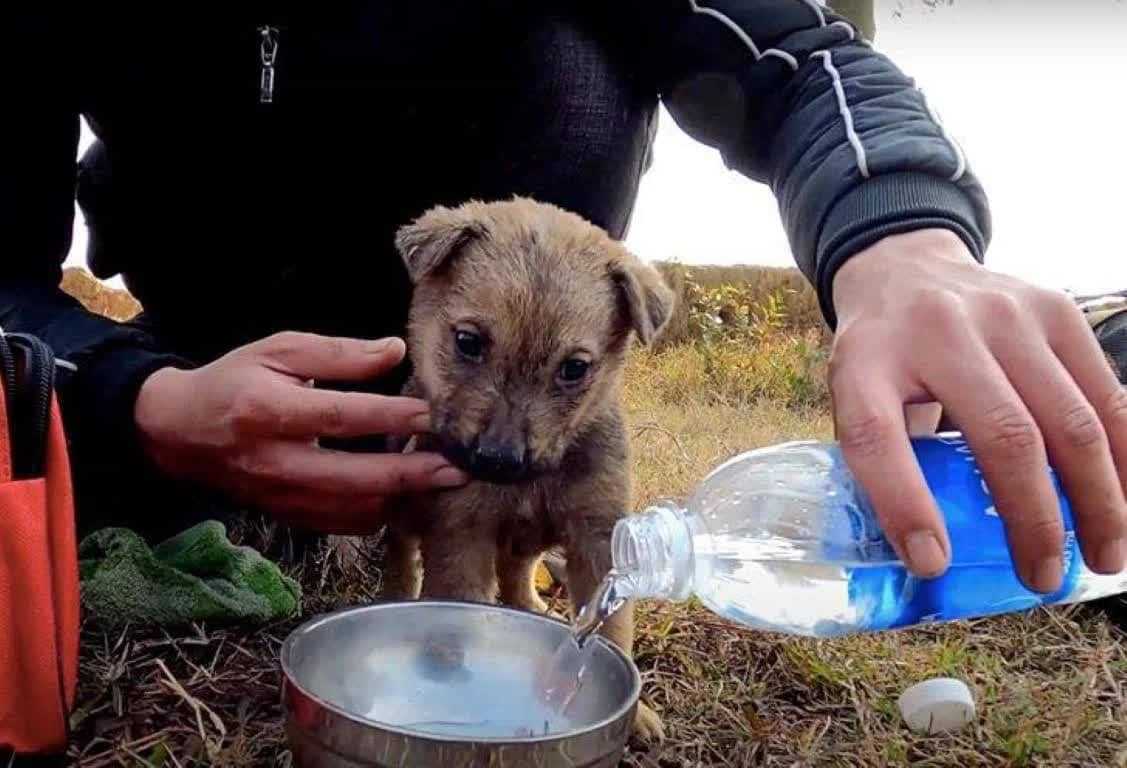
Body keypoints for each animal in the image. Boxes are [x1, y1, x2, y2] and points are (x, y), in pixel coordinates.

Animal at [385, 196, 667, 735]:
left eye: (574, 368)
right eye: (468, 341)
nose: (499, 461)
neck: (534, 481)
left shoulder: (598, 535)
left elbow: (613, 629)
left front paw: (635, 713)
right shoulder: (461, 530)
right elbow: (460, 607)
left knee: (518, 571)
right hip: (405, 509)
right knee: (401, 558)